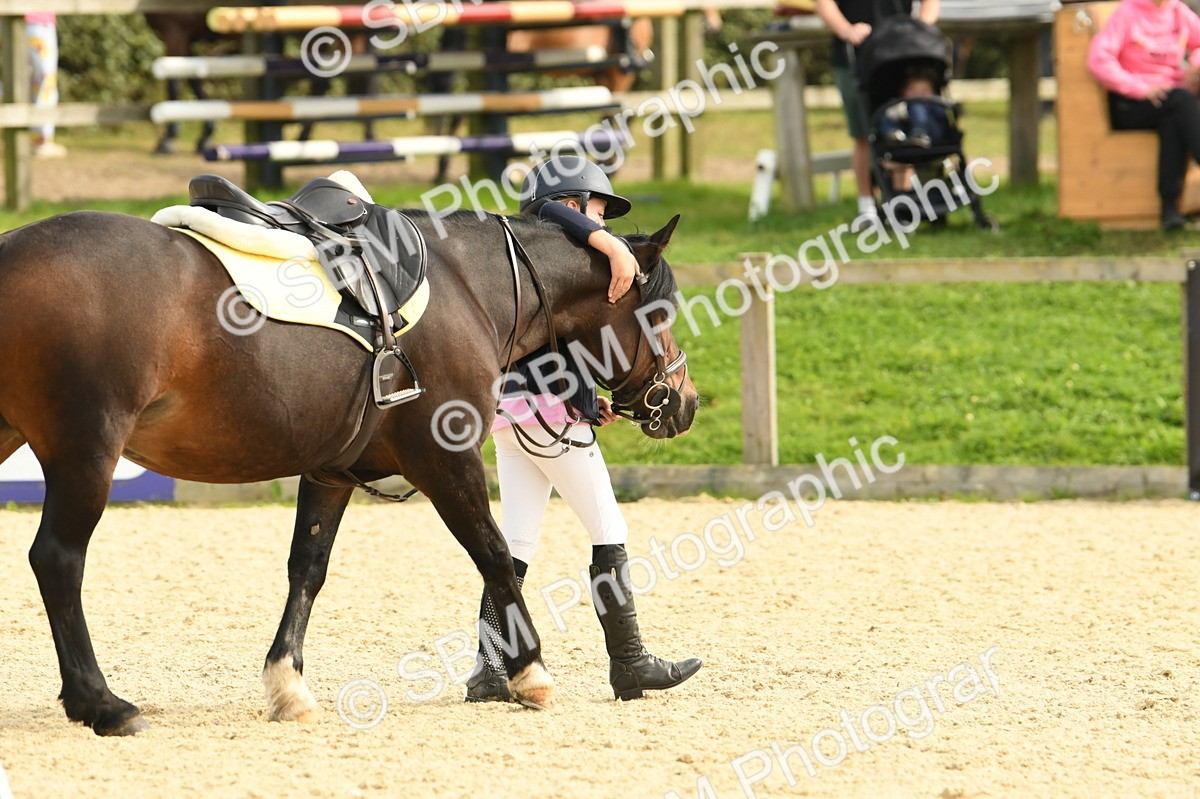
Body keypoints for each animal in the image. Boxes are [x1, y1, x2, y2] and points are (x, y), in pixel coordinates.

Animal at [0, 206, 697, 735]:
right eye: (660, 314)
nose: (684, 403)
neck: (471, 288)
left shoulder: (330, 474)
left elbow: (307, 571)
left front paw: (287, 686)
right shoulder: (446, 460)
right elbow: (495, 556)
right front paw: (530, 674)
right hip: (87, 452)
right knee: (58, 560)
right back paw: (101, 703)